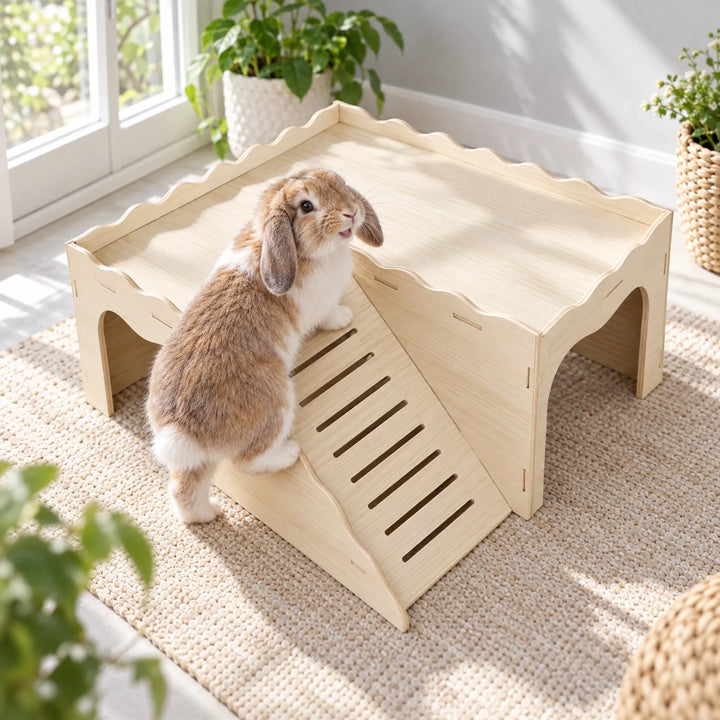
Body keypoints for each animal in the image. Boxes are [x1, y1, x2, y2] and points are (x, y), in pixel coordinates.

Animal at [146, 168, 383, 523]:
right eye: (306, 206)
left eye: (339, 181)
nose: (351, 212)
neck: (297, 252)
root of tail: (182, 428)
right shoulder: (322, 306)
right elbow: (329, 315)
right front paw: (344, 318)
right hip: (277, 407)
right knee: (249, 462)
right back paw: (288, 454)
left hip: (197, 463)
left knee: (184, 488)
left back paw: (208, 515)